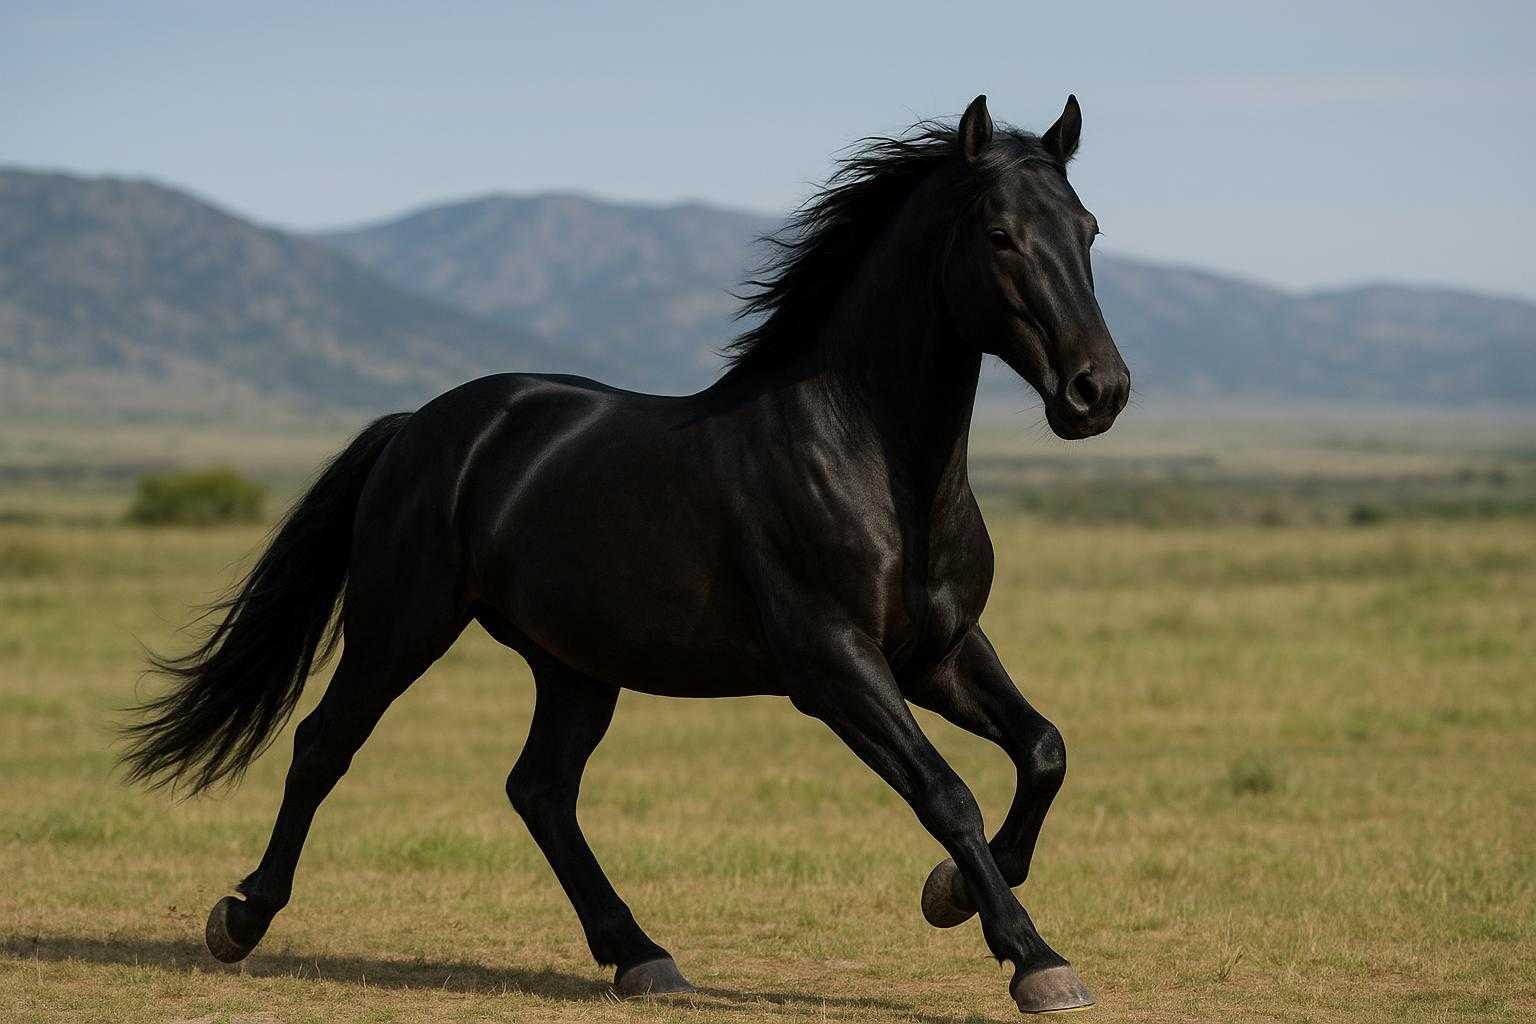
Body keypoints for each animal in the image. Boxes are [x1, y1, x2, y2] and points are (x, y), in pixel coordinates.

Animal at [122, 94, 1129, 1015]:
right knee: (326, 743)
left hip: (575, 664)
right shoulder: (835, 665)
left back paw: (641, 956)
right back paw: (241, 917)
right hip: (400, 625)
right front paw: (1036, 960)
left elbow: (1044, 750)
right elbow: (946, 792)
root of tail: (421, 427)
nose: (1100, 391)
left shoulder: (940, 652)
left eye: (1087, 230)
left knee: (539, 790)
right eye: (1000, 236)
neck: (874, 464)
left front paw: (954, 897)